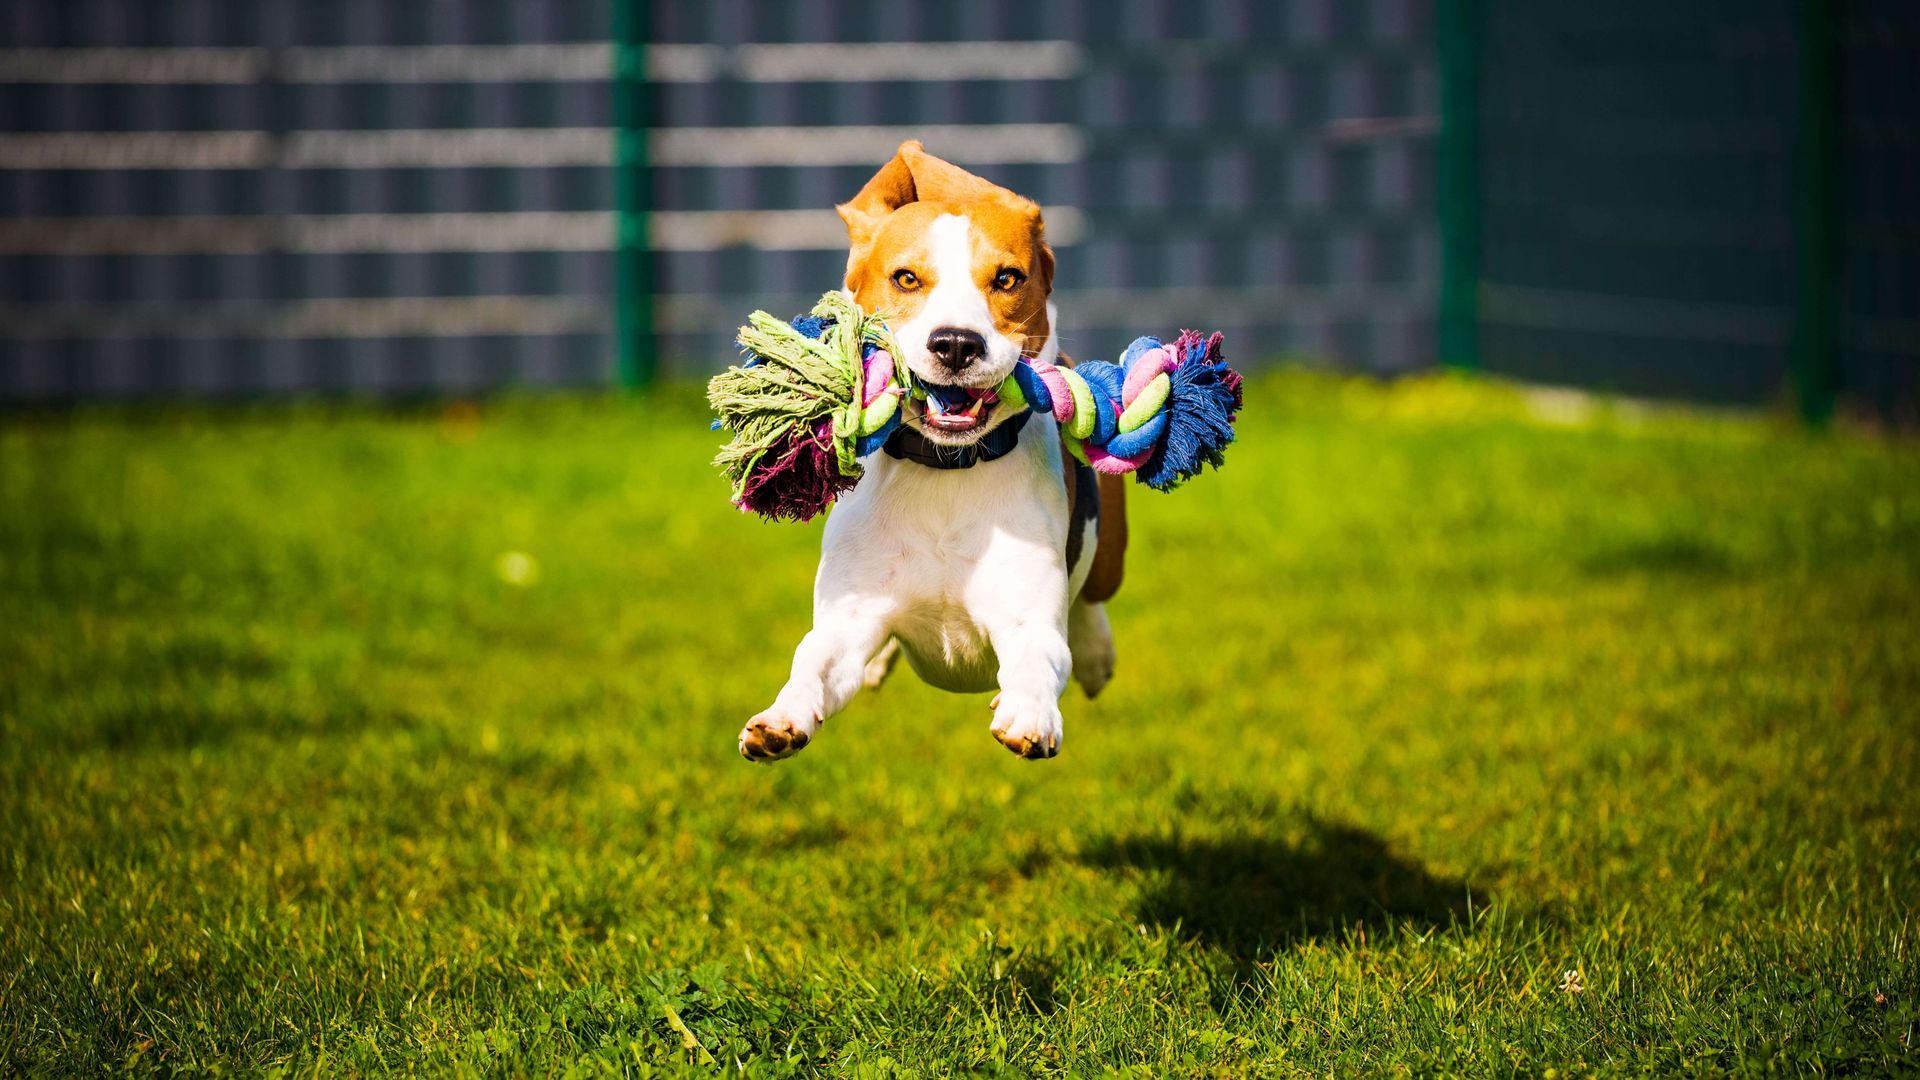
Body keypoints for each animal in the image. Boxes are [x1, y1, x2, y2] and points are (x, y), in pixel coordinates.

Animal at [733, 143, 1121, 760]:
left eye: (1006, 278)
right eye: (907, 278)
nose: (957, 343)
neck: (945, 469)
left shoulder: (1028, 616)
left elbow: (1037, 660)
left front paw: (1030, 715)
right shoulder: (849, 617)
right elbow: (813, 662)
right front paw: (779, 719)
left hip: (1109, 552)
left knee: (1093, 600)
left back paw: (1095, 654)